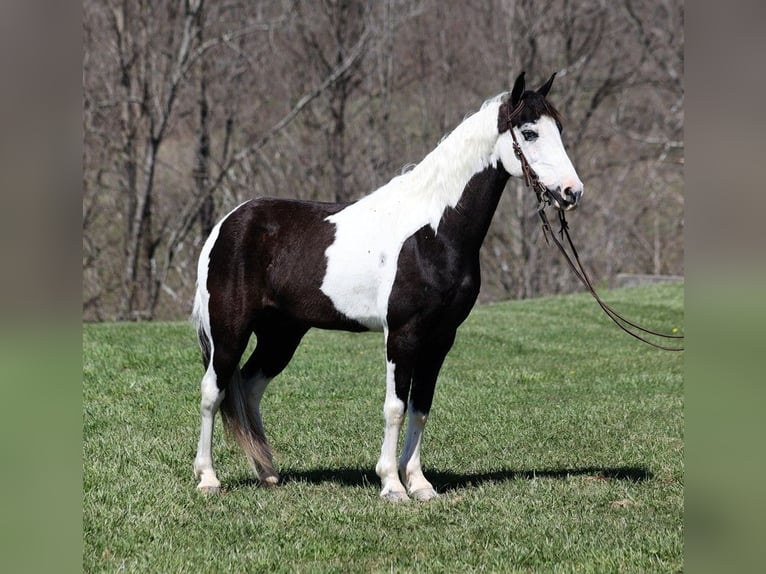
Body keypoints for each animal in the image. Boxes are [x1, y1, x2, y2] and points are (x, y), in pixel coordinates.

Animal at [190, 73, 584, 504]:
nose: (572, 192)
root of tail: (226, 224)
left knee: (249, 387)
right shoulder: (402, 335)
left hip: (282, 335)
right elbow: (395, 407)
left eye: (560, 129)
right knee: (212, 391)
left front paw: (420, 484)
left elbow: (421, 407)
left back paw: (267, 472)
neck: (433, 231)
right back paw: (208, 478)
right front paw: (392, 485)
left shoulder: (440, 338)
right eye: (529, 133)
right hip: (230, 331)